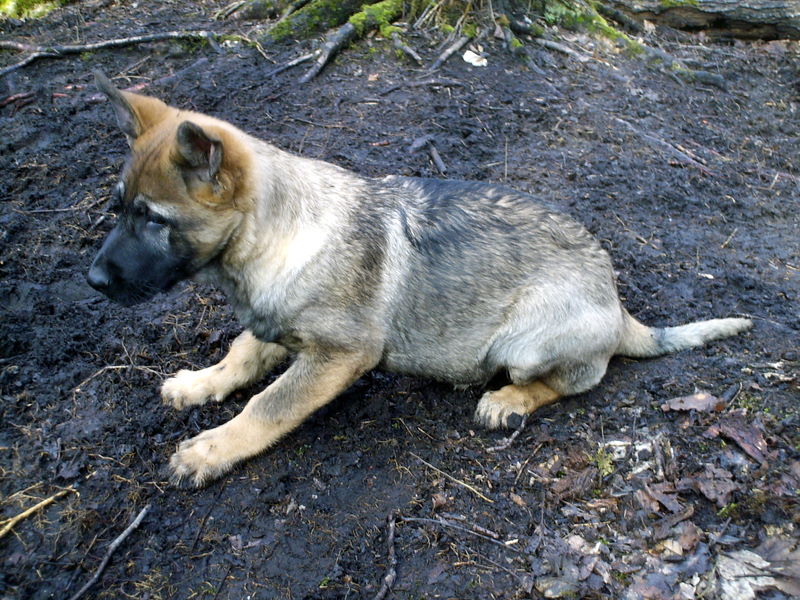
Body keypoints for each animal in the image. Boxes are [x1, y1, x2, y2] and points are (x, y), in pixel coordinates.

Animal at [87, 71, 752, 487]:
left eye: (154, 219)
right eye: (118, 208)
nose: (92, 281)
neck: (278, 236)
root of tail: (616, 304)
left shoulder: (340, 355)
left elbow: (267, 405)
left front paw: (212, 449)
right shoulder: (270, 319)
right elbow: (240, 355)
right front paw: (199, 385)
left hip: (526, 342)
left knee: (581, 377)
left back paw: (508, 401)